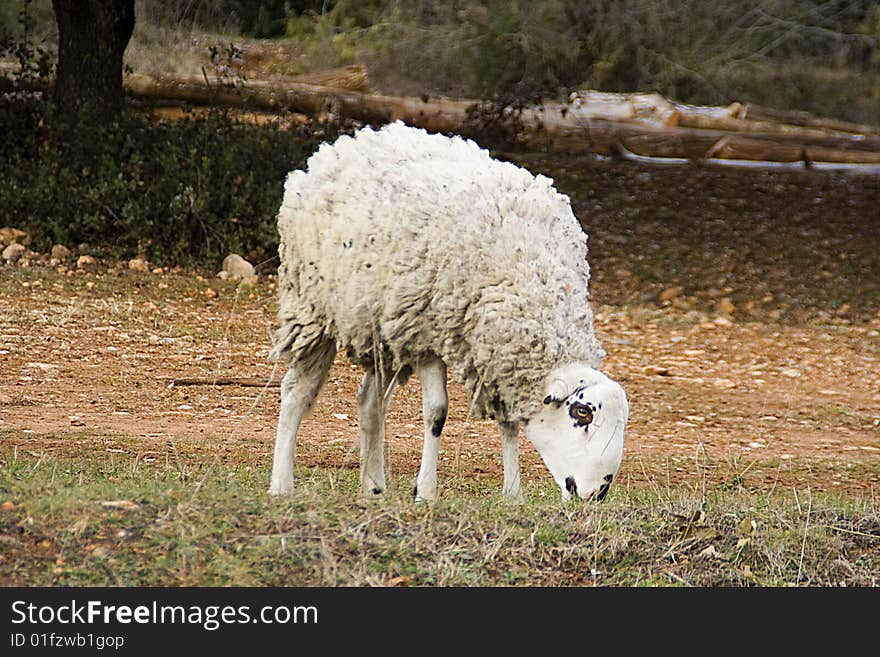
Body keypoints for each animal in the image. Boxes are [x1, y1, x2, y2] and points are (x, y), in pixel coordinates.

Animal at [266, 121, 624, 502]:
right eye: (582, 413)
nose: (596, 494)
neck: (531, 274)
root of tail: (348, 142)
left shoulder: (497, 353)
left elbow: (509, 422)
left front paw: (513, 493)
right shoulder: (428, 333)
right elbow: (437, 413)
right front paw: (425, 492)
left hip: (385, 332)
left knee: (370, 403)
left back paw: (374, 486)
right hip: (311, 307)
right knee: (296, 392)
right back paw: (281, 484)